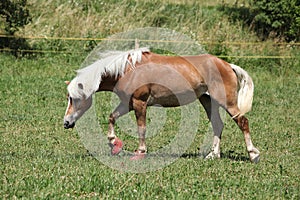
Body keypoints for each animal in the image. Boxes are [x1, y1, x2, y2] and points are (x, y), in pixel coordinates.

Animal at [63, 47, 260, 163]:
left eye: (74, 98)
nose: (66, 123)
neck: (127, 69)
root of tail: (227, 64)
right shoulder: (128, 103)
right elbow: (112, 117)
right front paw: (114, 143)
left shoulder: (139, 103)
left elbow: (141, 128)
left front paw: (140, 152)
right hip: (208, 101)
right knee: (218, 124)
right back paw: (213, 155)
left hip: (227, 102)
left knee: (243, 122)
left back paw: (253, 154)